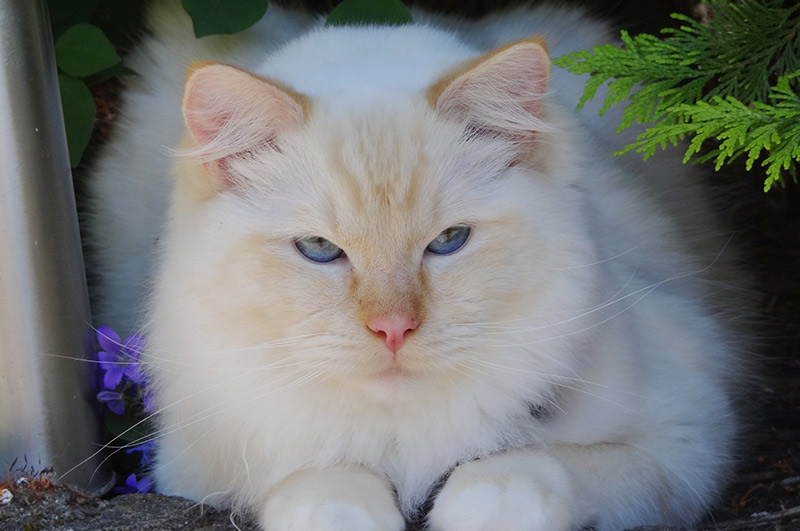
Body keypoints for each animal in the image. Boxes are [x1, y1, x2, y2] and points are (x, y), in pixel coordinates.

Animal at [87, 2, 752, 528]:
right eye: (320, 250)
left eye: (449, 241)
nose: (394, 330)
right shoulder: (211, 462)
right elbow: (326, 486)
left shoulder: (684, 439)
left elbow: (516, 473)